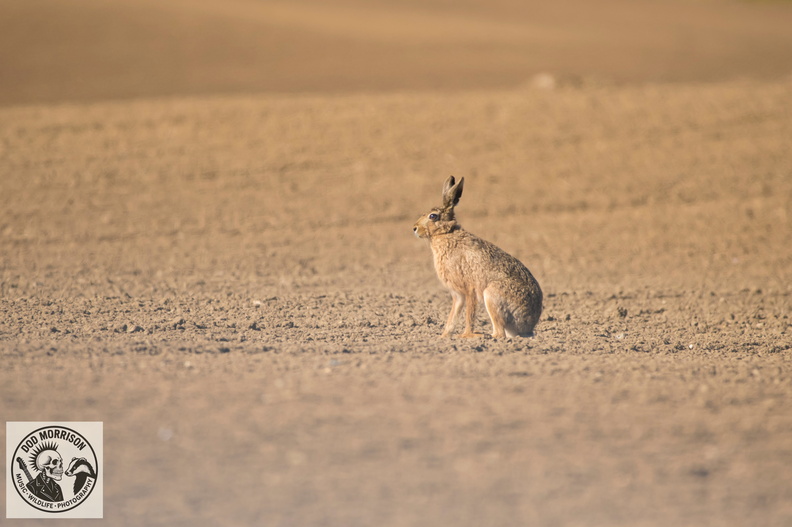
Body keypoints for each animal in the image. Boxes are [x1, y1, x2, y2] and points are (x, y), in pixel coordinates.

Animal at [413, 176, 542, 338]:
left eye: (433, 216)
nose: (414, 228)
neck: (446, 233)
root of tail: (528, 326)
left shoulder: (469, 289)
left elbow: (469, 314)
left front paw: (466, 336)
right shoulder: (458, 295)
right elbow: (452, 317)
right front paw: (444, 336)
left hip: (492, 295)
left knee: (499, 333)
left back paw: (484, 336)